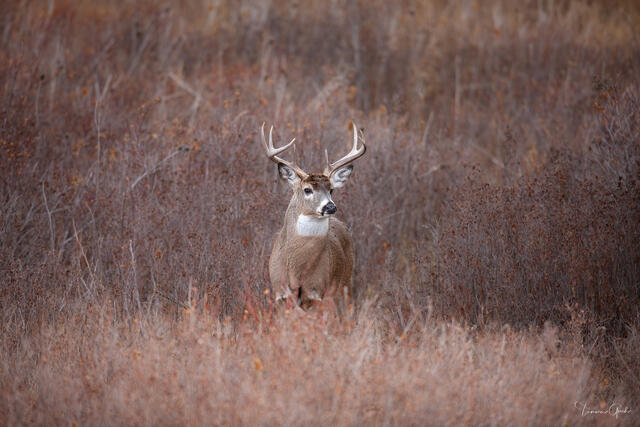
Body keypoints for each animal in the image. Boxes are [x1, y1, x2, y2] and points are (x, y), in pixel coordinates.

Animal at [260, 122, 366, 311]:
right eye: (307, 189)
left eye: (331, 189)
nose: (330, 206)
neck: (297, 270)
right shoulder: (280, 292)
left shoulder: (316, 292)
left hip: (343, 284)